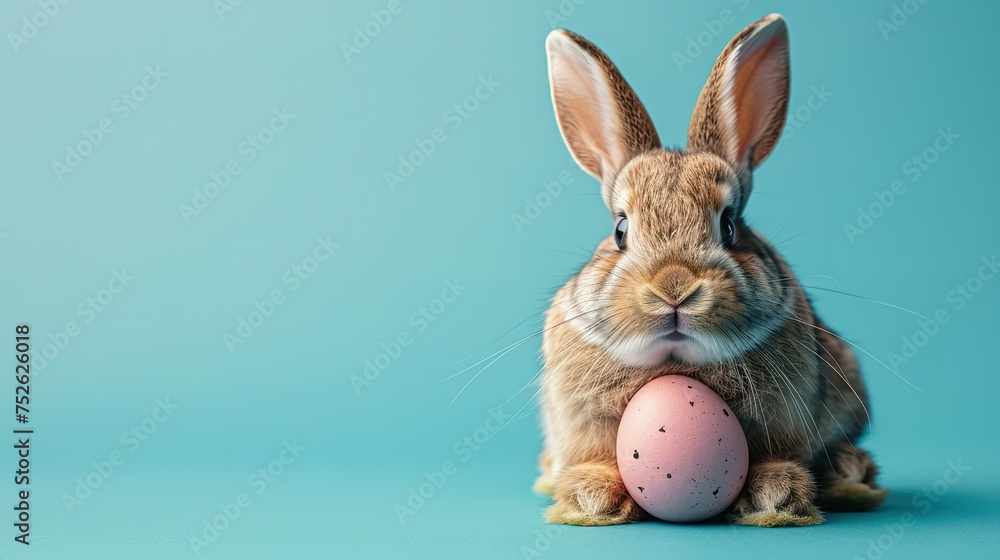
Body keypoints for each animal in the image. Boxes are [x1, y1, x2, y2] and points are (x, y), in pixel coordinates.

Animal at [534, 13, 889, 527]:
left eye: (729, 226)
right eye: (620, 230)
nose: (674, 288)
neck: (678, 364)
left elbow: (776, 454)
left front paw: (777, 493)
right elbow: (594, 456)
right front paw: (591, 496)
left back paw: (848, 470)